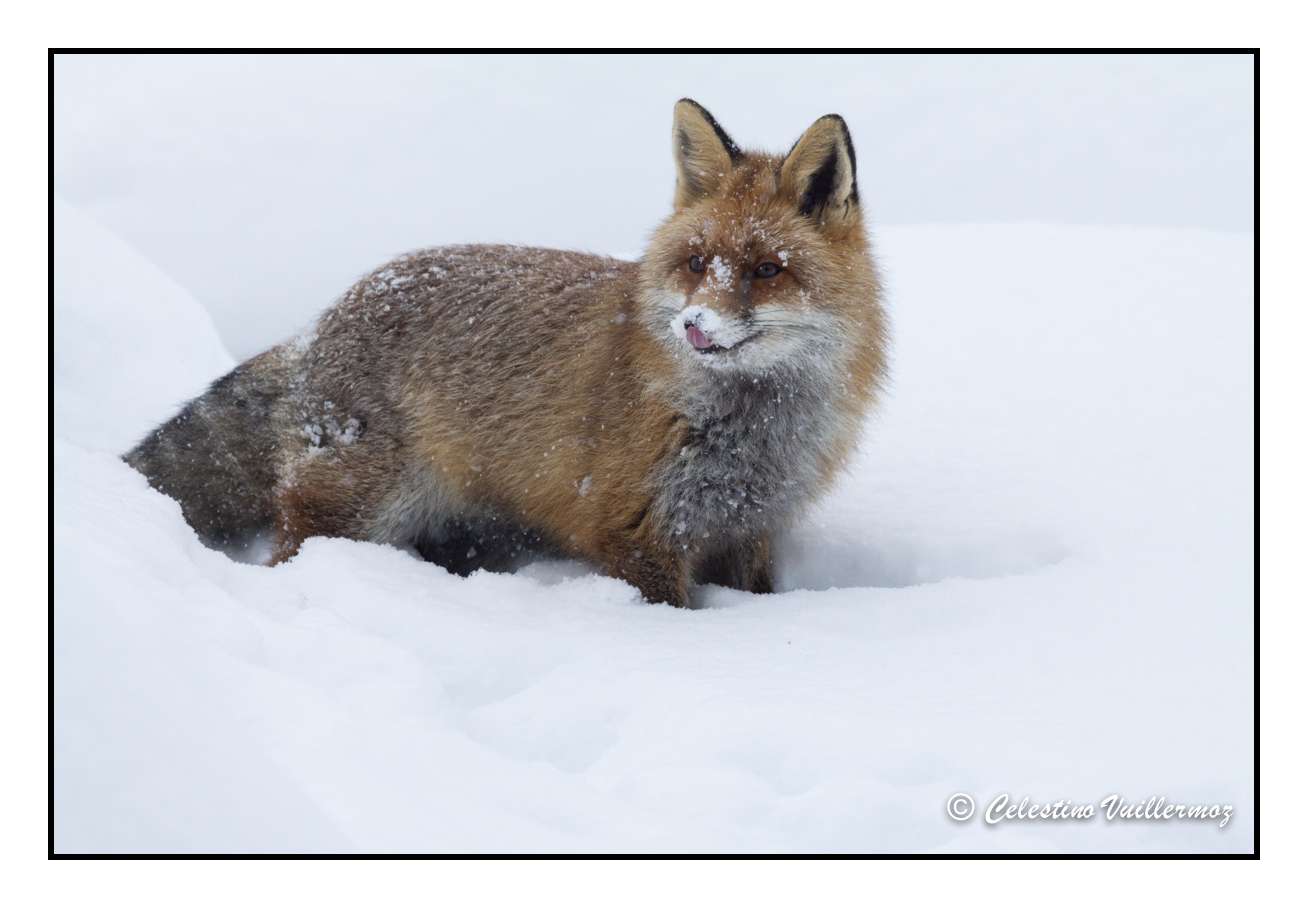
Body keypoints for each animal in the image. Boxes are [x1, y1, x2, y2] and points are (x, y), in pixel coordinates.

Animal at [125, 99, 888, 608]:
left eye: (768, 270)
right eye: (697, 263)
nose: (695, 327)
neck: (750, 434)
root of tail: (323, 319)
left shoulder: (749, 529)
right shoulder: (635, 533)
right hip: (358, 511)